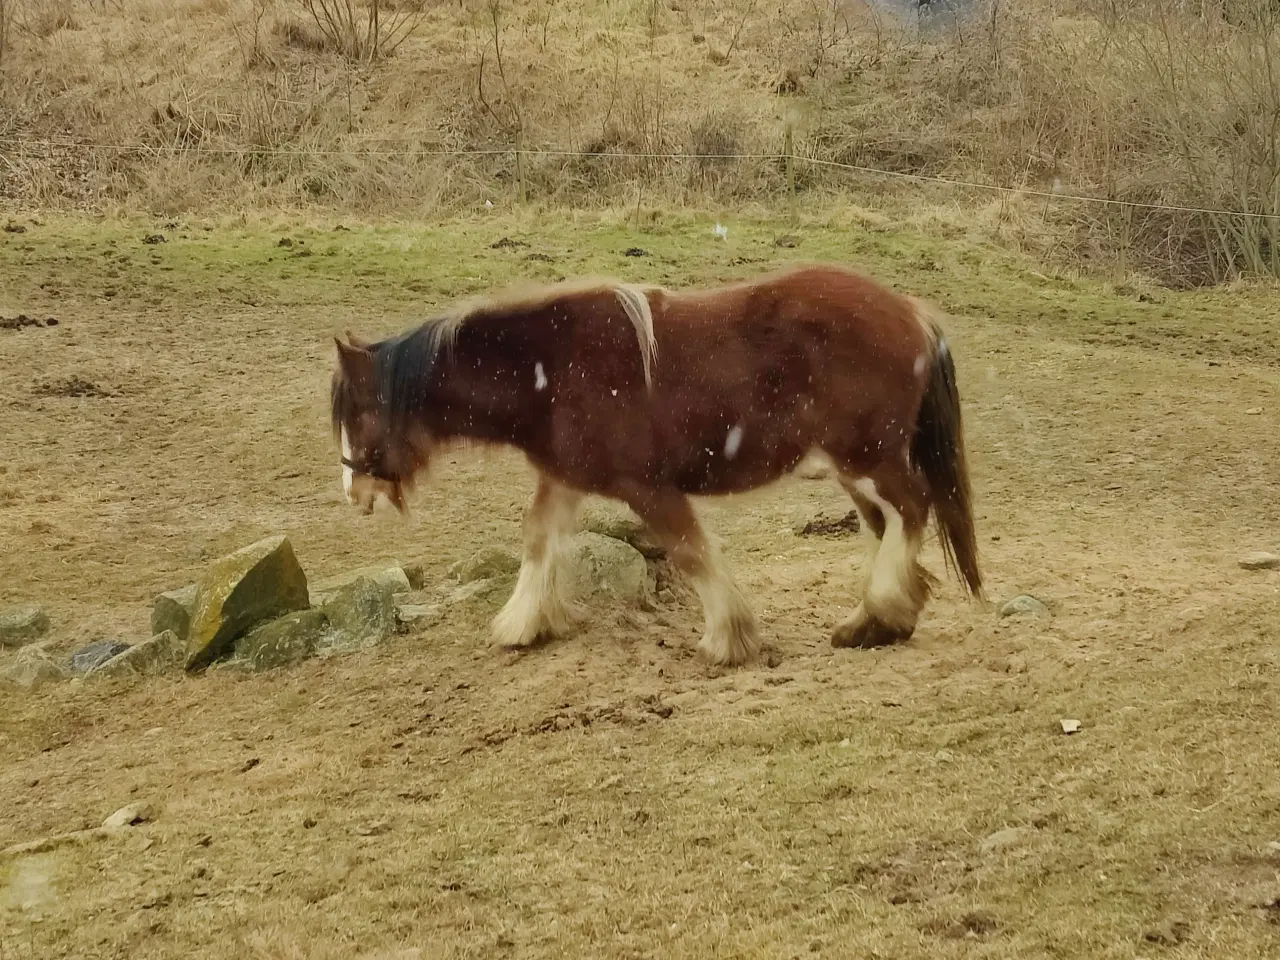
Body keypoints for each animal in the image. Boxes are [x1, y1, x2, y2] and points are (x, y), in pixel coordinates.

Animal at [327, 263, 977, 670]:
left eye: (359, 411)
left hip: (868, 457)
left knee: (912, 509)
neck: (551, 370)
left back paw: (882, 613)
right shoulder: (564, 480)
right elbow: (537, 538)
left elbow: (690, 552)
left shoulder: (647, 488)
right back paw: (879, 622)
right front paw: (521, 625)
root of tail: (911, 312)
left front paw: (727, 639)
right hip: (857, 467)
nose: (354, 490)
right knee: (889, 523)